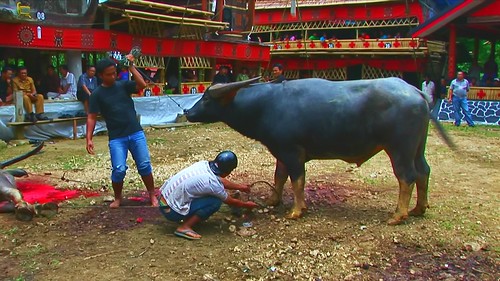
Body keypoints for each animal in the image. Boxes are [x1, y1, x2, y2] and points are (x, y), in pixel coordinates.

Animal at [185, 76, 454, 223]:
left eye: (207, 98)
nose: (188, 111)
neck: (266, 105)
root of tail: (416, 92)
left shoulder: (293, 152)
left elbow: (297, 180)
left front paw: (296, 210)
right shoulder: (281, 150)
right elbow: (279, 176)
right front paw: (273, 200)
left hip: (399, 148)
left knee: (406, 177)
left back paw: (398, 215)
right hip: (417, 148)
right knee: (424, 171)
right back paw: (419, 209)